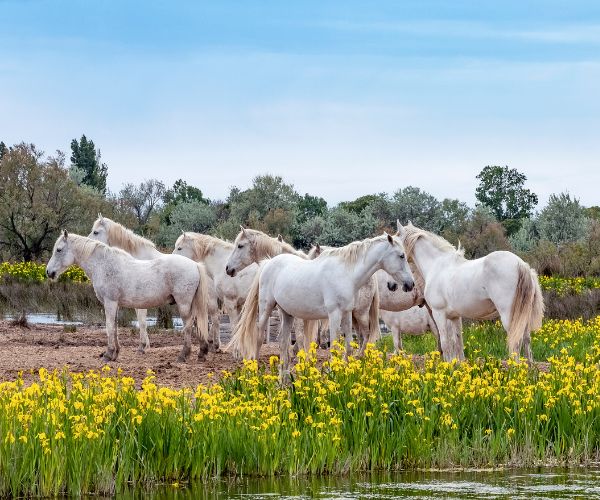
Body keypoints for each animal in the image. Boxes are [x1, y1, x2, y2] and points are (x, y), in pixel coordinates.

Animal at [45, 230, 209, 364]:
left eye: (59, 250)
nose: (48, 272)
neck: (103, 265)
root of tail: (195, 265)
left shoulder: (110, 303)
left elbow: (109, 327)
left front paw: (108, 354)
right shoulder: (115, 305)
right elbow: (115, 328)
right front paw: (115, 354)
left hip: (183, 304)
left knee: (188, 326)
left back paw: (183, 355)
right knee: (197, 323)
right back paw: (202, 353)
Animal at [88, 217, 221, 354]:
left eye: (96, 232)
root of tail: (200, 266)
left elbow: (142, 321)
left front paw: (142, 346)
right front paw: (145, 345)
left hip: (209, 300)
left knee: (215, 318)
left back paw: (215, 345)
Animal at [227, 235, 414, 378]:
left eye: (240, 245)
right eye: (401, 256)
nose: (410, 284)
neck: (346, 273)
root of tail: (269, 263)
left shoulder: (346, 313)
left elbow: (347, 345)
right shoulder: (334, 314)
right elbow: (334, 346)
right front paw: (333, 373)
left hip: (287, 313)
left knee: (283, 341)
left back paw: (284, 375)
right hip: (266, 307)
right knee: (259, 336)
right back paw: (255, 371)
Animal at [398, 222, 544, 360]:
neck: (437, 265)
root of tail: (522, 264)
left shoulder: (439, 314)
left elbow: (445, 345)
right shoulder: (455, 317)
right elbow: (458, 345)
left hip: (509, 316)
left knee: (516, 344)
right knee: (527, 340)